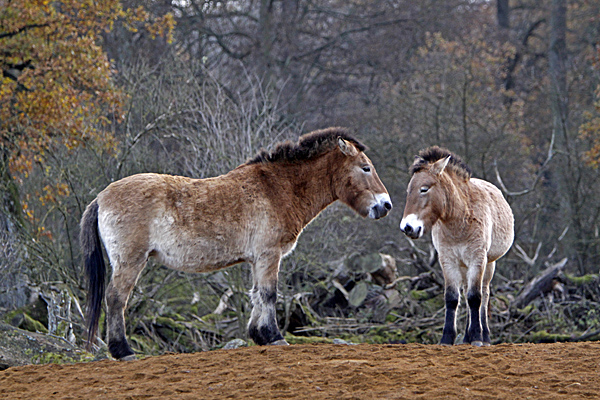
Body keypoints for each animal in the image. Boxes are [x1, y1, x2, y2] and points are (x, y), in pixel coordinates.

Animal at [82, 127, 392, 360]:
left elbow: (256, 294)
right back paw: (123, 351)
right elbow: (269, 293)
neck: (276, 189)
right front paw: (274, 337)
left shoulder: (258, 259)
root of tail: (101, 197)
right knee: (116, 298)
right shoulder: (269, 255)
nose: (386, 205)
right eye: (365, 168)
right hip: (130, 261)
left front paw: (259, 334)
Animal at [400, 147, 512, 346]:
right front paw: (447, 338)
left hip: (489, 264)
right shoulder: (448, 261)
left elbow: (475, 298)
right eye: (409, 190)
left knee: (483, 295)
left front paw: (477, 337)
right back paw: (466, 338)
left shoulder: (477, 259)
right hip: (464, 266)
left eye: (424, 189)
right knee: (467, 293)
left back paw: (484, 336)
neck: (460, 219)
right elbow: (452, 298)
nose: (408, 227)